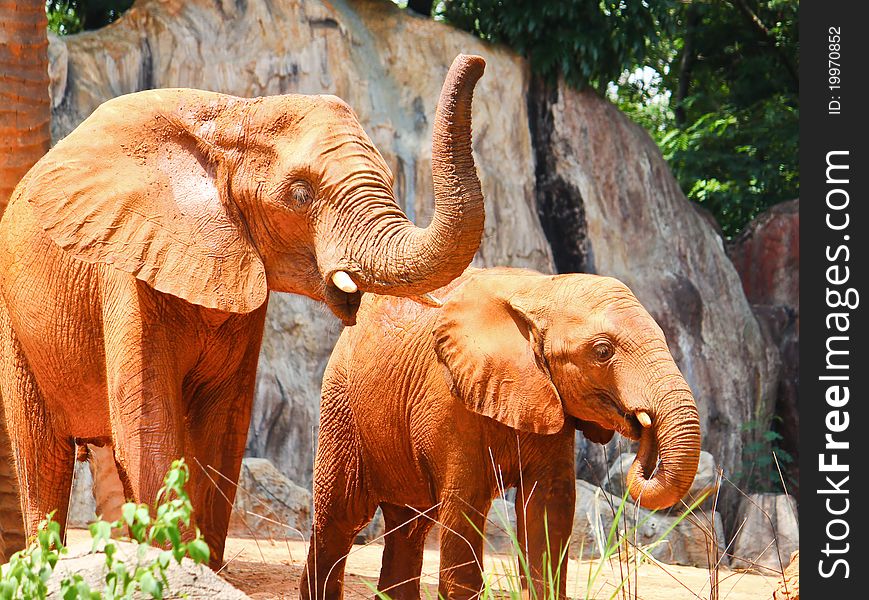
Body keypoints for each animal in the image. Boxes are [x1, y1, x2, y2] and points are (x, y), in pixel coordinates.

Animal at [0, 56, 488, 568]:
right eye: (300, 194)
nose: (475, 62)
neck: (237, 114)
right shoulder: (127, 266)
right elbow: (149, 420)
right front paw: (177, 563)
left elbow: (224, 425)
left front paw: (200, 565)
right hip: (15, 319)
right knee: (42, 455)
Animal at [302, 268, 700, 600]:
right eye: (603, 351)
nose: (643, 425)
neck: (542, 291)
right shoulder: (453, 401)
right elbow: (465, 504)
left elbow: (548, 508)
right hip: (342, 406)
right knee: (339, 519)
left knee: (409, 528)